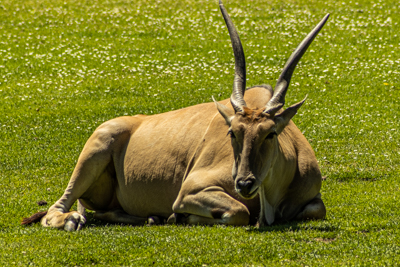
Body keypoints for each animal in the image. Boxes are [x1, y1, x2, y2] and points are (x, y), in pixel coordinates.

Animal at [21, 0, 328, 231]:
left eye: (270, 133)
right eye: (232, 132)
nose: (244, 183)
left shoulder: (313, 201)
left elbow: (317, 209)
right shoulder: (191, 190)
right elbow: (239, 212)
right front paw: (181, 216)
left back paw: (148, 217)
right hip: (95, 150)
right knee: (58, 209)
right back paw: (72, 219)